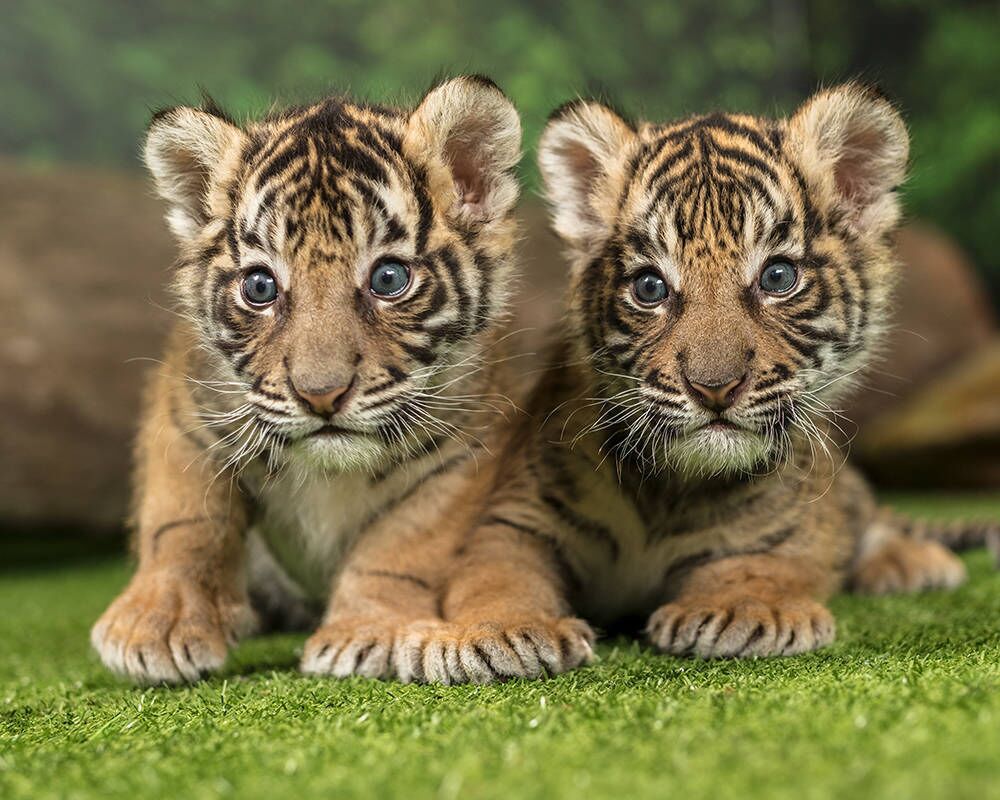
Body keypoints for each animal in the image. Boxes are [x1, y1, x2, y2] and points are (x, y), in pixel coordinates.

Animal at [89, 75, 580, 684]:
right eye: (260, 287)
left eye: (388, 278)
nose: (320, 394)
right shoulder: (186, 410)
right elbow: (183, 520)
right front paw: (158, 624)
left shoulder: (465, 451)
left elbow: (400, 545)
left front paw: (364, 632)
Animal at [368, 82, 1000, 683]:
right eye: (650, 287)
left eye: (778, 277)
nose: (714, 387)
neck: (671, 493)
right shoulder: (516, 514)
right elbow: (497, 574)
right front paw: (498, 633)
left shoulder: (791, 529)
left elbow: (767, 564)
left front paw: (740, 612)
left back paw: (913, 562)